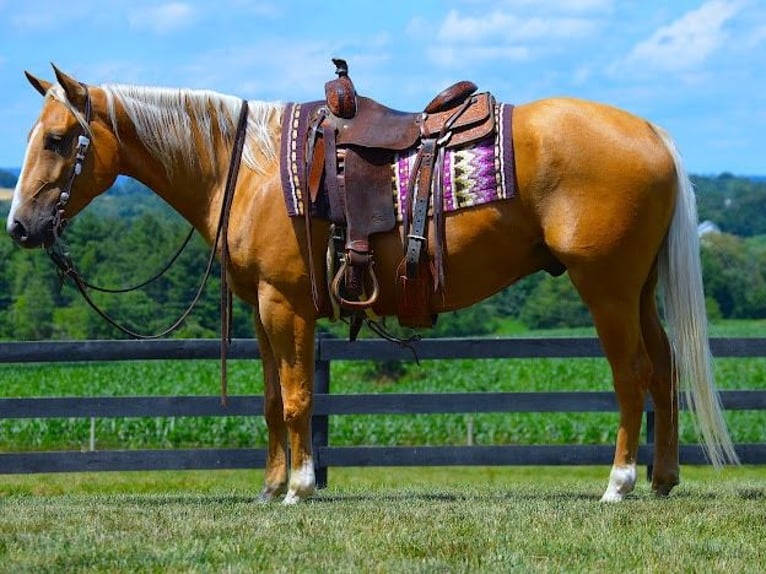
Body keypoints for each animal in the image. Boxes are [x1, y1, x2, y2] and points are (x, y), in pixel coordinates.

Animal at [4, 64, 736, 504]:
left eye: (60, 138)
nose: (19, 226)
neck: (250, 168)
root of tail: (651, 132)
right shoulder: (259, 309)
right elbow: (269, 401)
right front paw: (270, 486)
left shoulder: (287, 304)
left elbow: (297, 399)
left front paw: (300, 487)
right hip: (639, 289)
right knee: (664, 368)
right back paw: (663, 478)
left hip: (606, 286)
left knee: (631, 375)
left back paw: (618, 483)